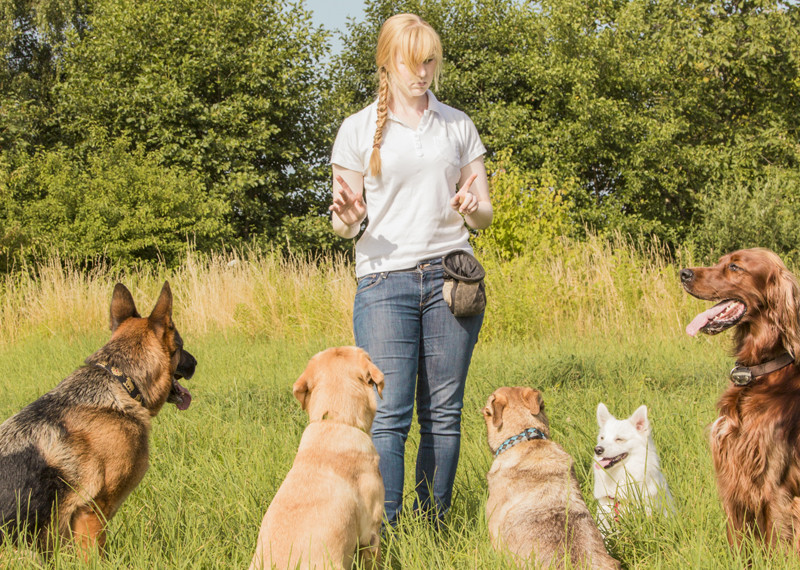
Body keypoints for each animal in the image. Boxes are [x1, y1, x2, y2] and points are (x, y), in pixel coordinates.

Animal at [680, 246, 800, 548]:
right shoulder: (732, 475)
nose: (683, 273)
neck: (758, 373)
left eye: (735, 267)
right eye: (721, 261)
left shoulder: (775, 487)